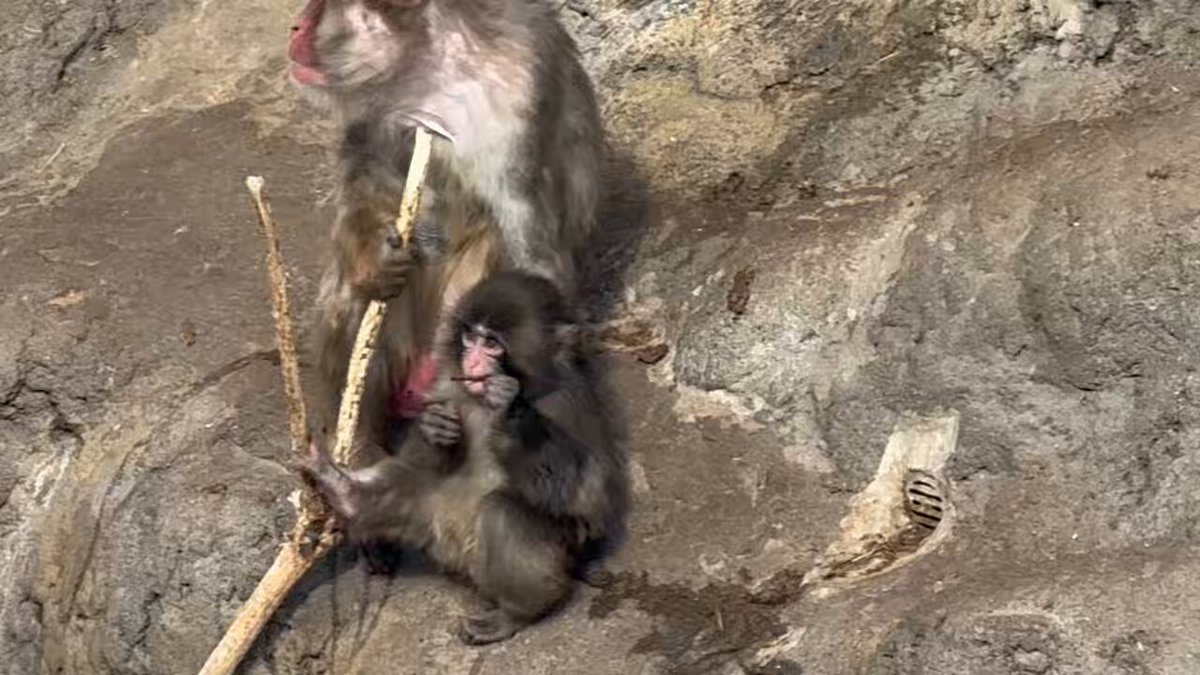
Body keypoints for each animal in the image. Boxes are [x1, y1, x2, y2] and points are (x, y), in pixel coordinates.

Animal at [289, 0, 605, 456]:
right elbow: (367, 184)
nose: (295, 26)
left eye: (318, 10)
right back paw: (359, 443)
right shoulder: (379, 112)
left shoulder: (520, 93)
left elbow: (532, 240)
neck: (435, 66)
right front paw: (374, 263)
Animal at [300, 270, 628, 644]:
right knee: (410, 480)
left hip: (548, 559)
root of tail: (458, 554)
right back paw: (345, 494)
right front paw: (433, 426)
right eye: (470, 337)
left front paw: (512, 413)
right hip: (434, 520)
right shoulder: (445, 386)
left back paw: (517, 613)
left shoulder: (569, 403)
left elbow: (585, 501)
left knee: (503, 512)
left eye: (492, 344)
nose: (471, 361)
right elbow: (418, 457)